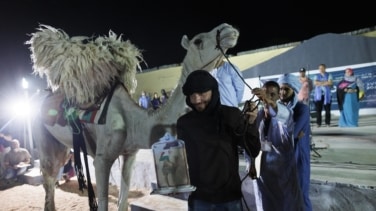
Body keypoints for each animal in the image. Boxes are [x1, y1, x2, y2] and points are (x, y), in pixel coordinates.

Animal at [28, 22, 238, 209]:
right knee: (48, 178)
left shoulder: (130, 154)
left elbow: (123, 200)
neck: (135, 121)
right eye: (198, 41)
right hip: (42, 134)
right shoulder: (102, 160)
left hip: (64, 146)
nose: (228, 29)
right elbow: (103, 202)